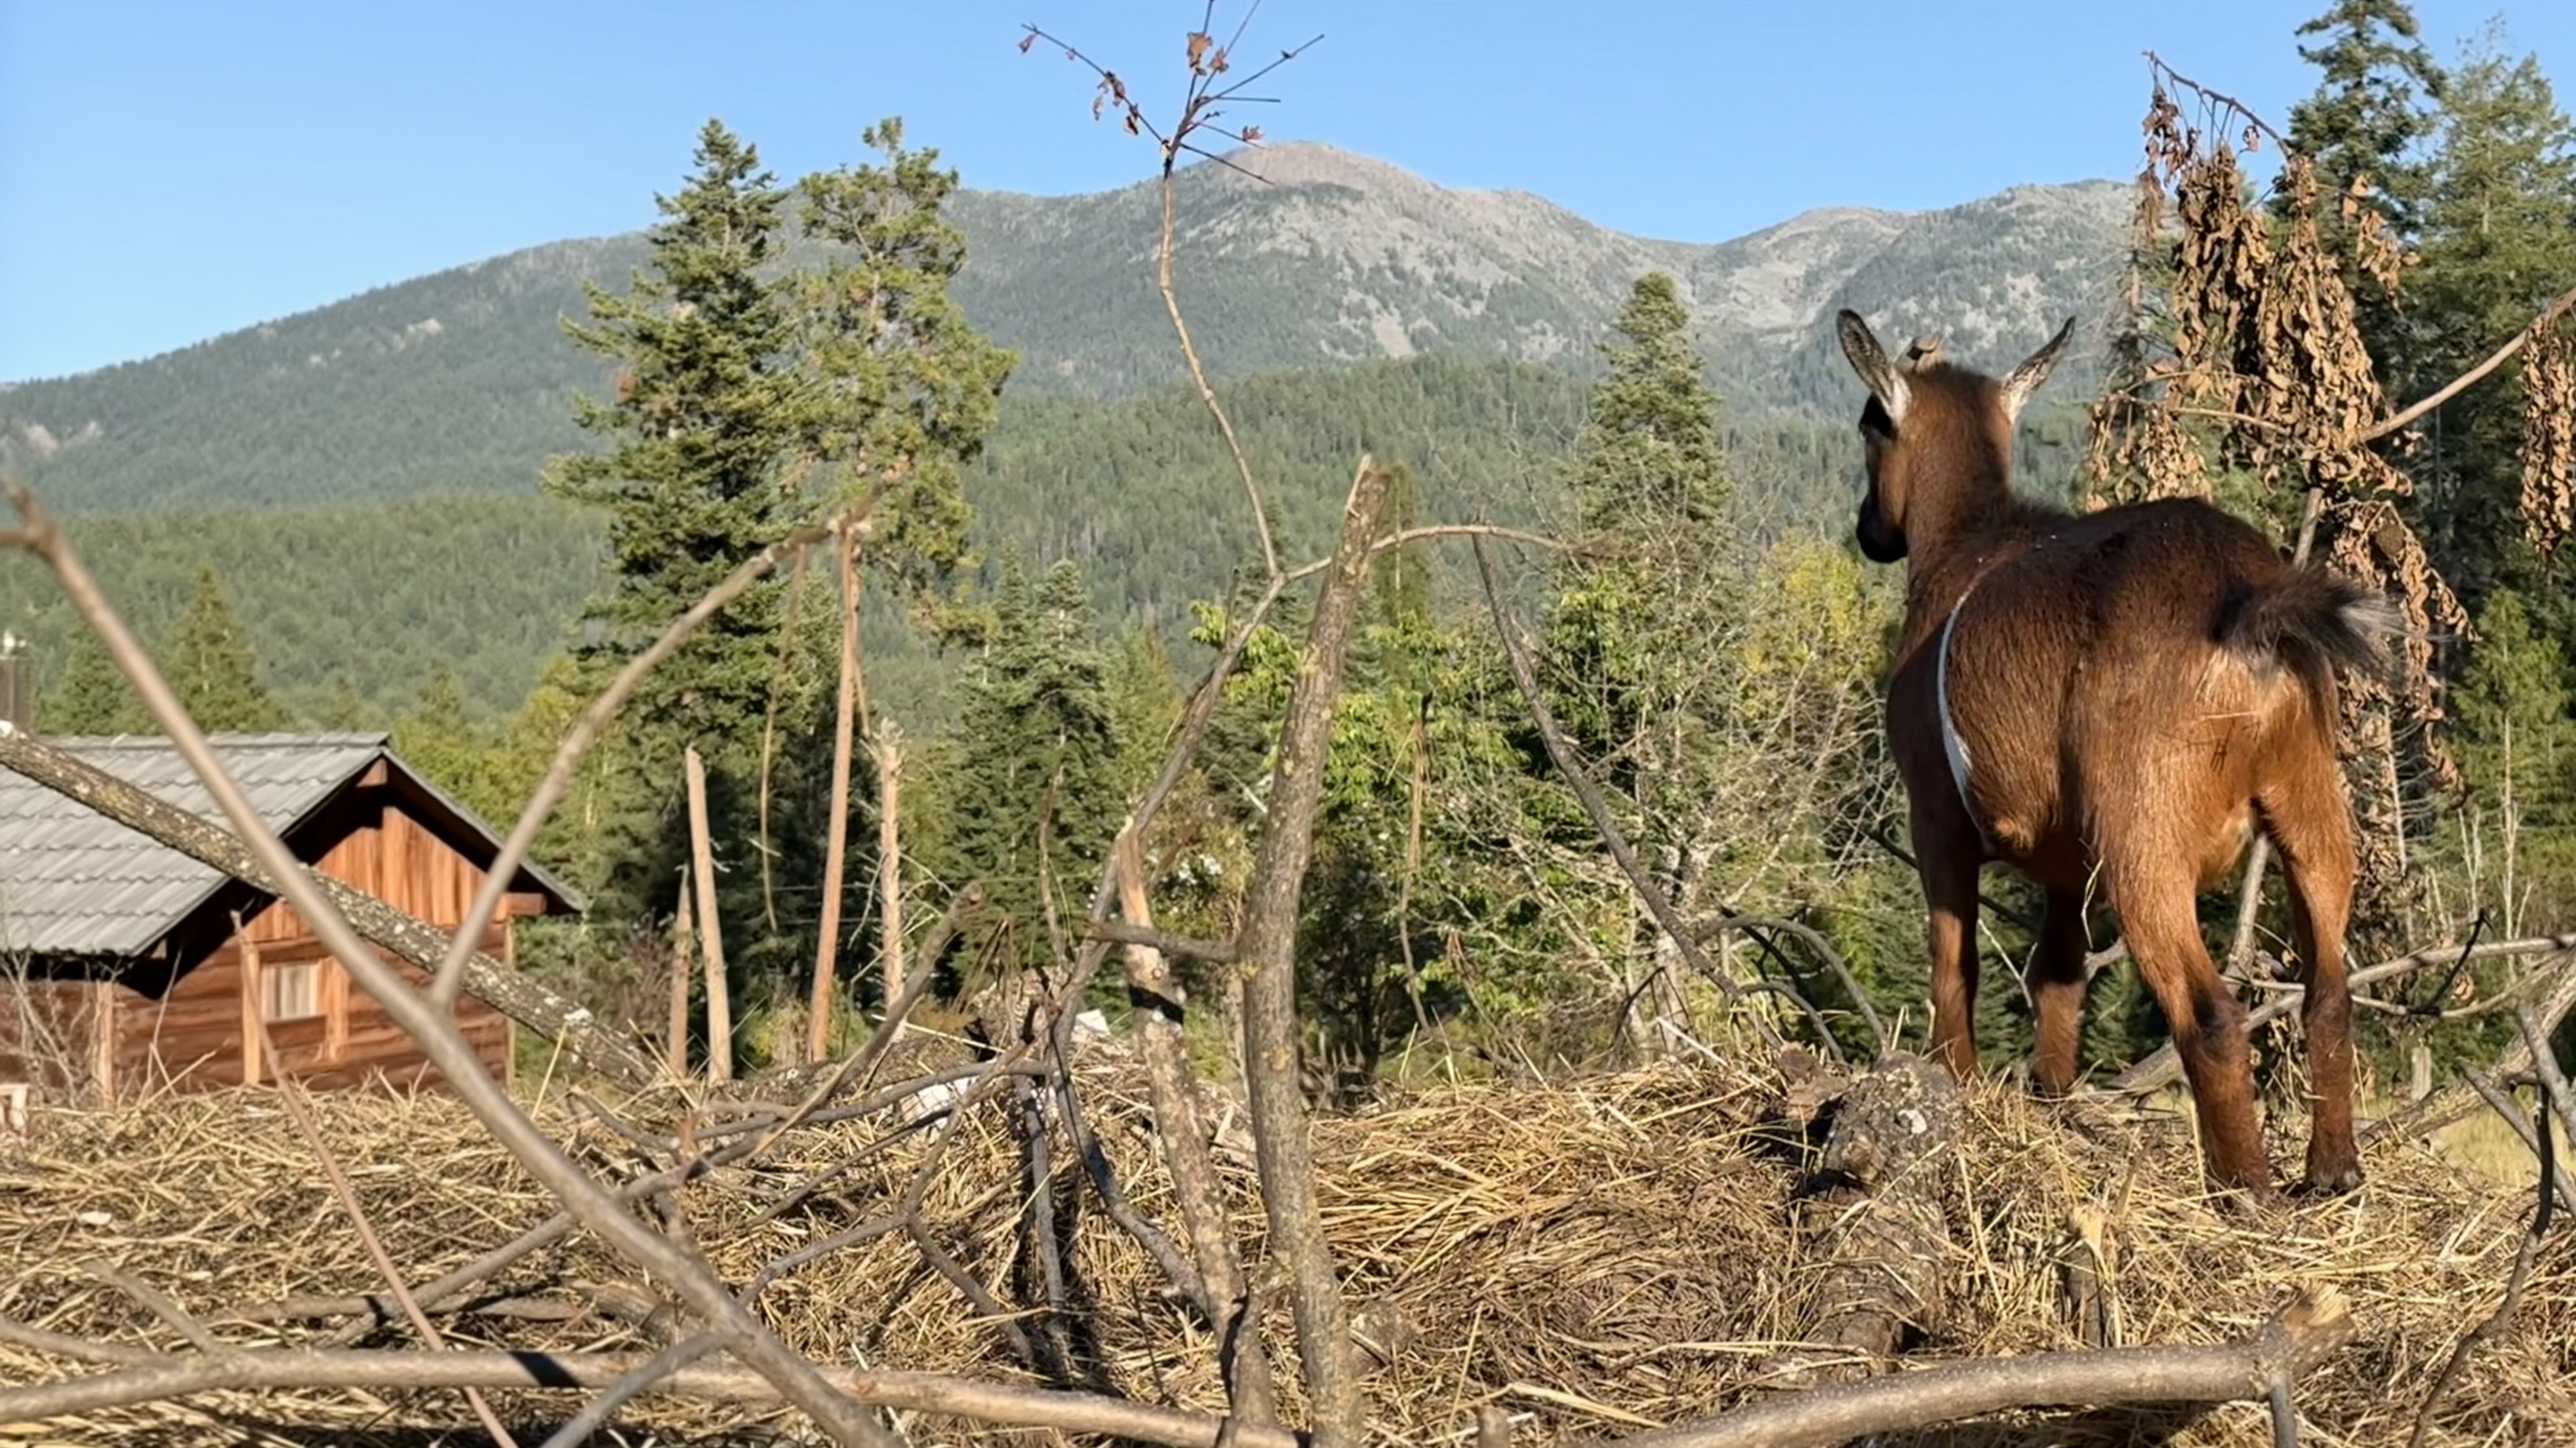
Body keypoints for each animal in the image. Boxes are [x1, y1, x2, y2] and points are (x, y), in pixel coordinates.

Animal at [1836, 307, 2391, 1198]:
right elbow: (2058, 976)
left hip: (2145, 833)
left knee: (2210, 1011)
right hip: (2311, 800)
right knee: (2330, 991)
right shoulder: (2068, 863)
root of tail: (2249, 606)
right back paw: (2333, 1171)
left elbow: (1954, 963)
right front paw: (2053, 1102)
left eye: (1867, 426)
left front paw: (1952, 1086)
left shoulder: (1935, 815)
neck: (1967, 542)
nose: (1868, 532)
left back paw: (2245, 1189)